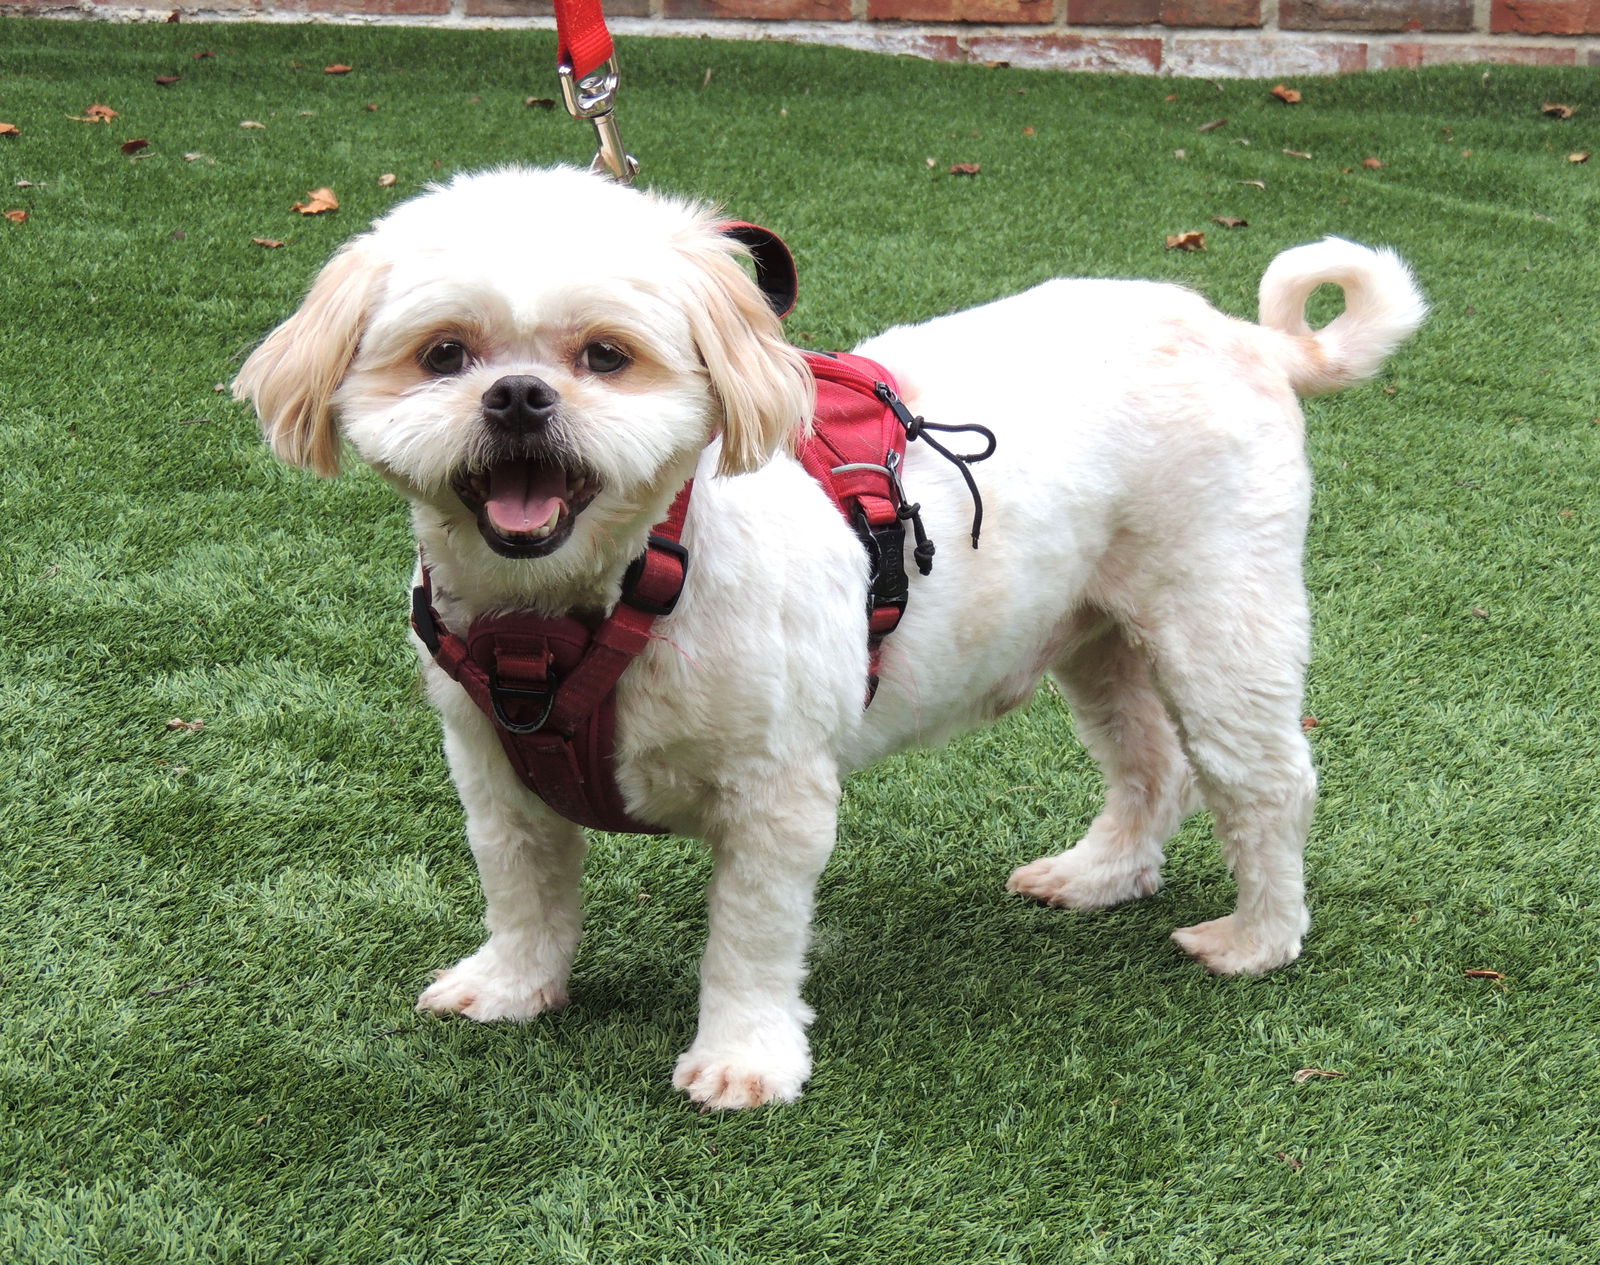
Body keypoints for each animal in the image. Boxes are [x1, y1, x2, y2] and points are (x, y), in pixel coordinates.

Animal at [232, 165, 1420, 1106]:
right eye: (444, 354)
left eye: (606, 356)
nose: (518, 395)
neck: (587, 597)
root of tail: (1250, 336)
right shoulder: (493, 767)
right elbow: (522, 888)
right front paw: (514, 987)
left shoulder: (777, 789)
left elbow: (751, 936)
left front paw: (744, 1060)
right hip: (1093, 629)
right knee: (1151, 761)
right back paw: (1100, 874)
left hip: (1220, 614)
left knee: (1266, 779)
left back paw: (1257, 939)